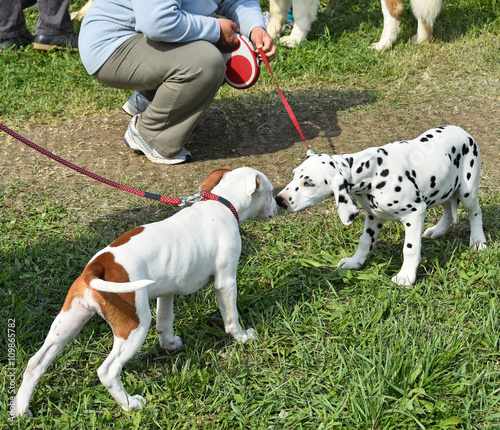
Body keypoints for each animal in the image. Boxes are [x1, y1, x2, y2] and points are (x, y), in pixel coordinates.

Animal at [14, 167, 278, 416]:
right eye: (271, 192)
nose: (279, 203)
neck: (221, 203)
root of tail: (97, 267)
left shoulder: (167, 290)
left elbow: (165, 322)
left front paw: (170, 345)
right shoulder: (225, 281)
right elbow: (231, 318)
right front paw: (243, 337)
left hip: (69, 321)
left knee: (36, 363)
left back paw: (21, 410)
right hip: (134, 326)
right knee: (108, 371)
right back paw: (130, 403)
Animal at [270, 0, 442, 49]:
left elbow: (299, 13)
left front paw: (295, 39)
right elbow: (276, 10)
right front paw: (269, 36)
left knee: (395, 12)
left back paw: (383, 45)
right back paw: (422, 38)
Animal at [276, 124, 486, 286]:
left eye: (308, 183)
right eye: (294, 175)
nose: (279, 199)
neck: (372, 172)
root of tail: (462, 131)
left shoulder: (415, 212)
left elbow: (410, 248)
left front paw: (405, 277)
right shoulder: (373, 216)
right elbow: (365, 241)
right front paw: (355, 262)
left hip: (467, 191)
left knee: (475, 212)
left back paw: (478, 241)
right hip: (443, 188)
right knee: (448, 210)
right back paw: (438, 230)